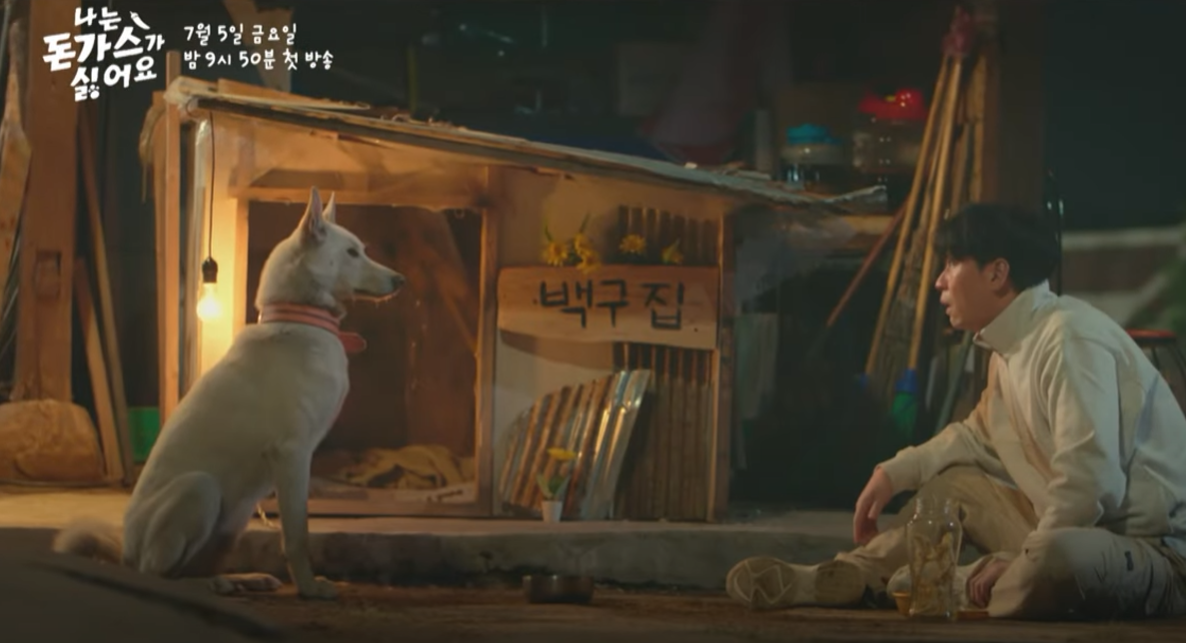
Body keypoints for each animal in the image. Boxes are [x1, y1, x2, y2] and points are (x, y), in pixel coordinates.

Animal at [52, 186, 404, 600]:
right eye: (351, 253)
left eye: (362, 250)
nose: (400, 280)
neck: (299, 319)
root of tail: (126, 552)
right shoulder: (292, 454)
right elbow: (296, 535)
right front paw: (309, 587)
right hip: (199, 489)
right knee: (159, 574)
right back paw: (208, 584)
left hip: (235, 518)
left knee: (194, 566)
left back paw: (239, 579)